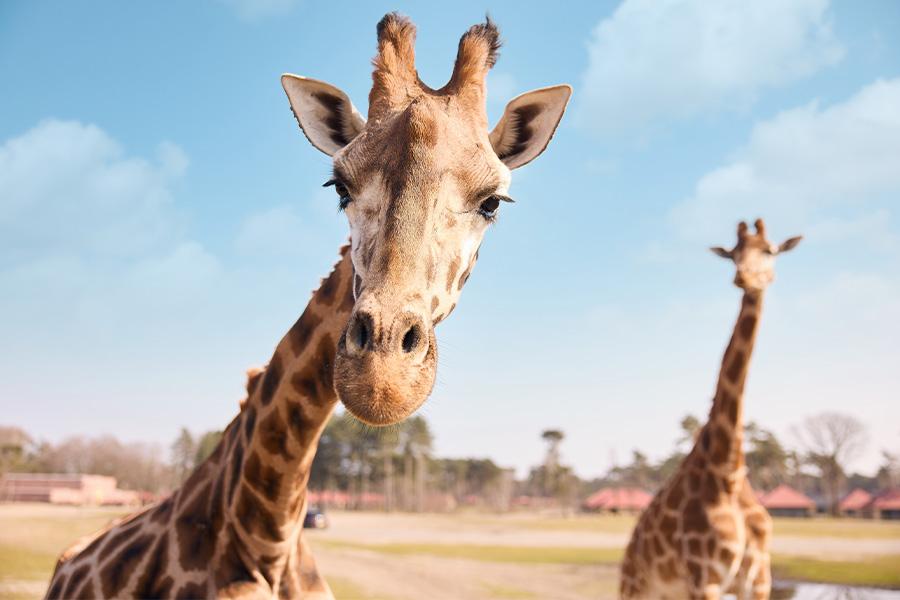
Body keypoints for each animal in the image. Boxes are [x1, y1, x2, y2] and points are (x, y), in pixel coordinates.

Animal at [620, 220, 800, 600]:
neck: (727, 473)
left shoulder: (759, 580)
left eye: (769, 250)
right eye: (733, 254)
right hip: (636, 586)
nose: (744, 277)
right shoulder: (705, 578)